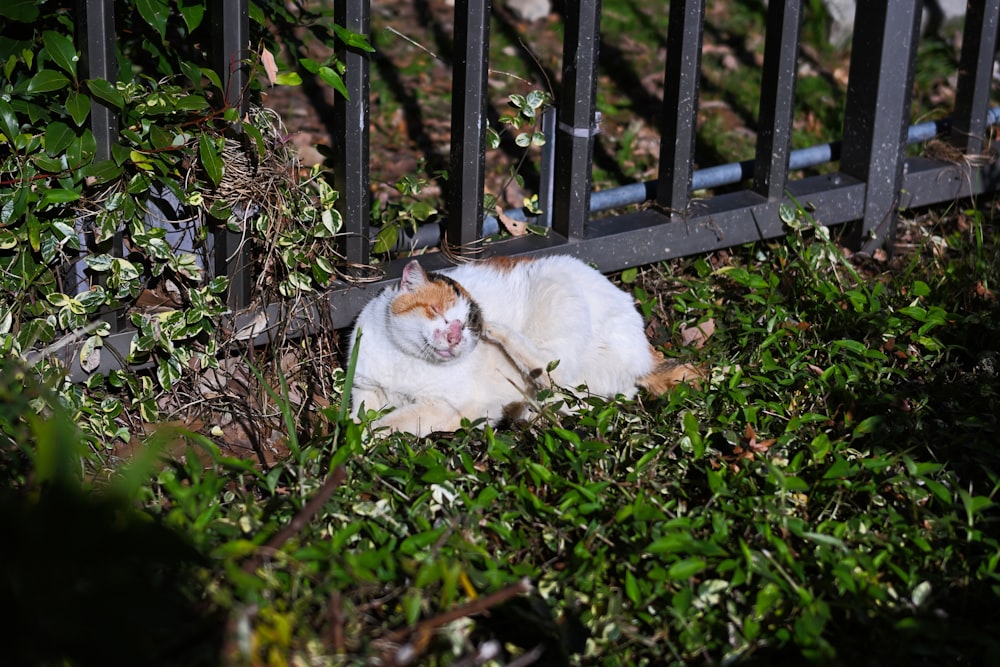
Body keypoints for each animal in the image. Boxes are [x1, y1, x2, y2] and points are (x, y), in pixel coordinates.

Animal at [348, 253, 700, 436]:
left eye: (468, 326)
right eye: (436, 311)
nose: (455, 336)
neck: (405, 361)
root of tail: (645, 350)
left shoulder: (446, 406)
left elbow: (392, 421)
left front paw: (362, 438)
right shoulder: (365, 387)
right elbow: (358, 414)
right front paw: (350, 431)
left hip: (555, 292)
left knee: (554, 376)